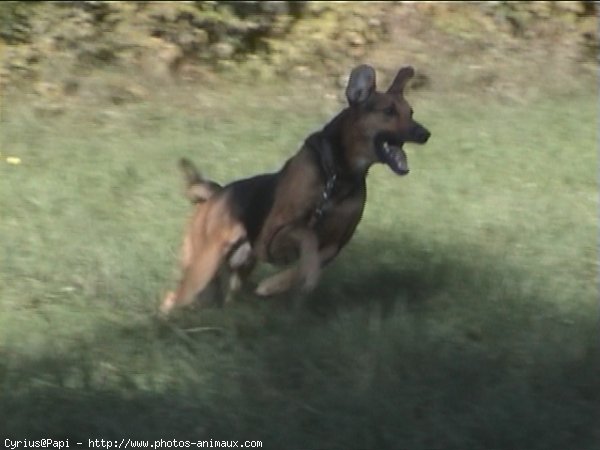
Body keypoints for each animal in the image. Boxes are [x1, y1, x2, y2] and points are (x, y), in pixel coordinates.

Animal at [161, 65, 432, 314]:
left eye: (411, 112)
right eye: (388, 111)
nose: (425, 134)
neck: (336, 174)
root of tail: (212, 196)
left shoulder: (335, 244)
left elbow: (309, 262)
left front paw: (279, 284)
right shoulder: (273, 234)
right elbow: (307, 235)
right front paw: (279, 283)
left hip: (235, 268)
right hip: (204, 265)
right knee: (172, 297)